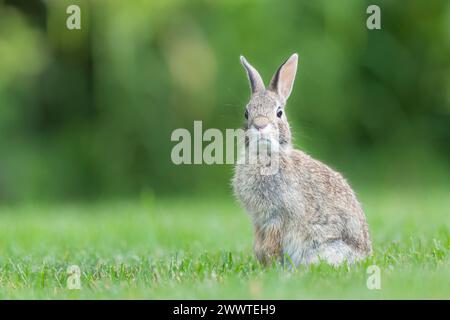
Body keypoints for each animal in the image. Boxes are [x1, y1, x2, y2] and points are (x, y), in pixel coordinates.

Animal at [232, 53, 372, 268]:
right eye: (246, 113)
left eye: (279, 112)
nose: (260, 125)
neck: (266, 156)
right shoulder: (259, 221)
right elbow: (258, 244)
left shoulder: (278, 217)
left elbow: (270, 245)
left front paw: (270, 267)